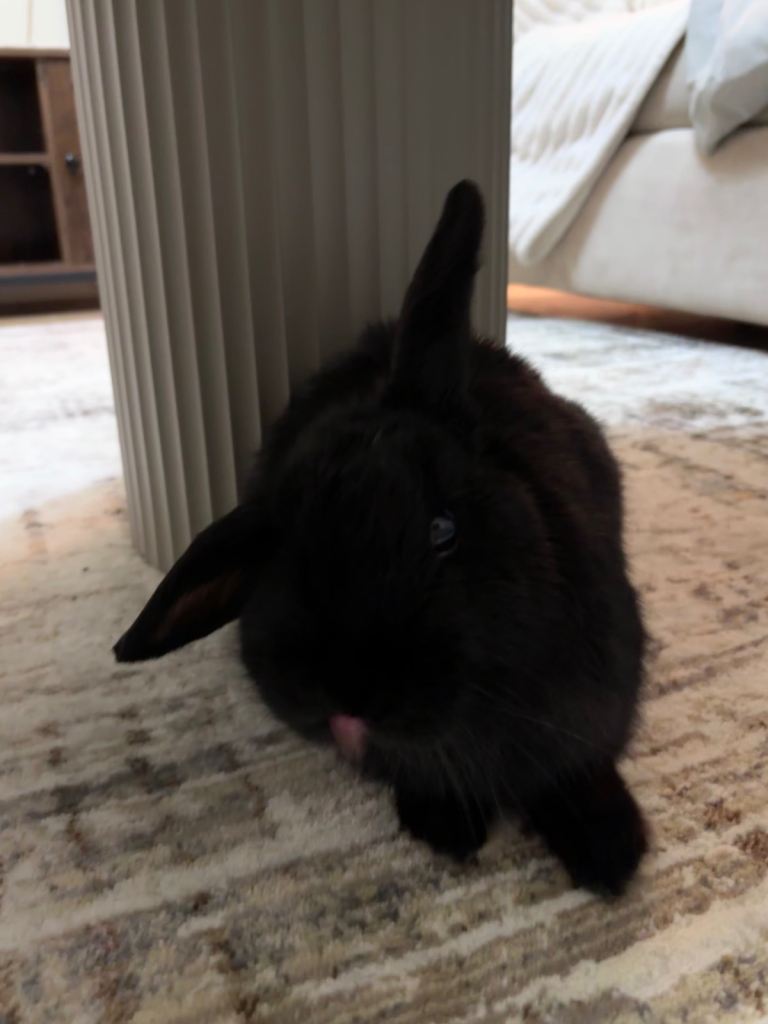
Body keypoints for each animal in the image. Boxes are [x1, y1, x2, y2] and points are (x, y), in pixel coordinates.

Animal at [114, 180, 648, 896]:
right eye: (277, 548)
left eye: (443, 528)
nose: (347, 701)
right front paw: (447, 828)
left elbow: (579, 773)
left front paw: (612, 853)